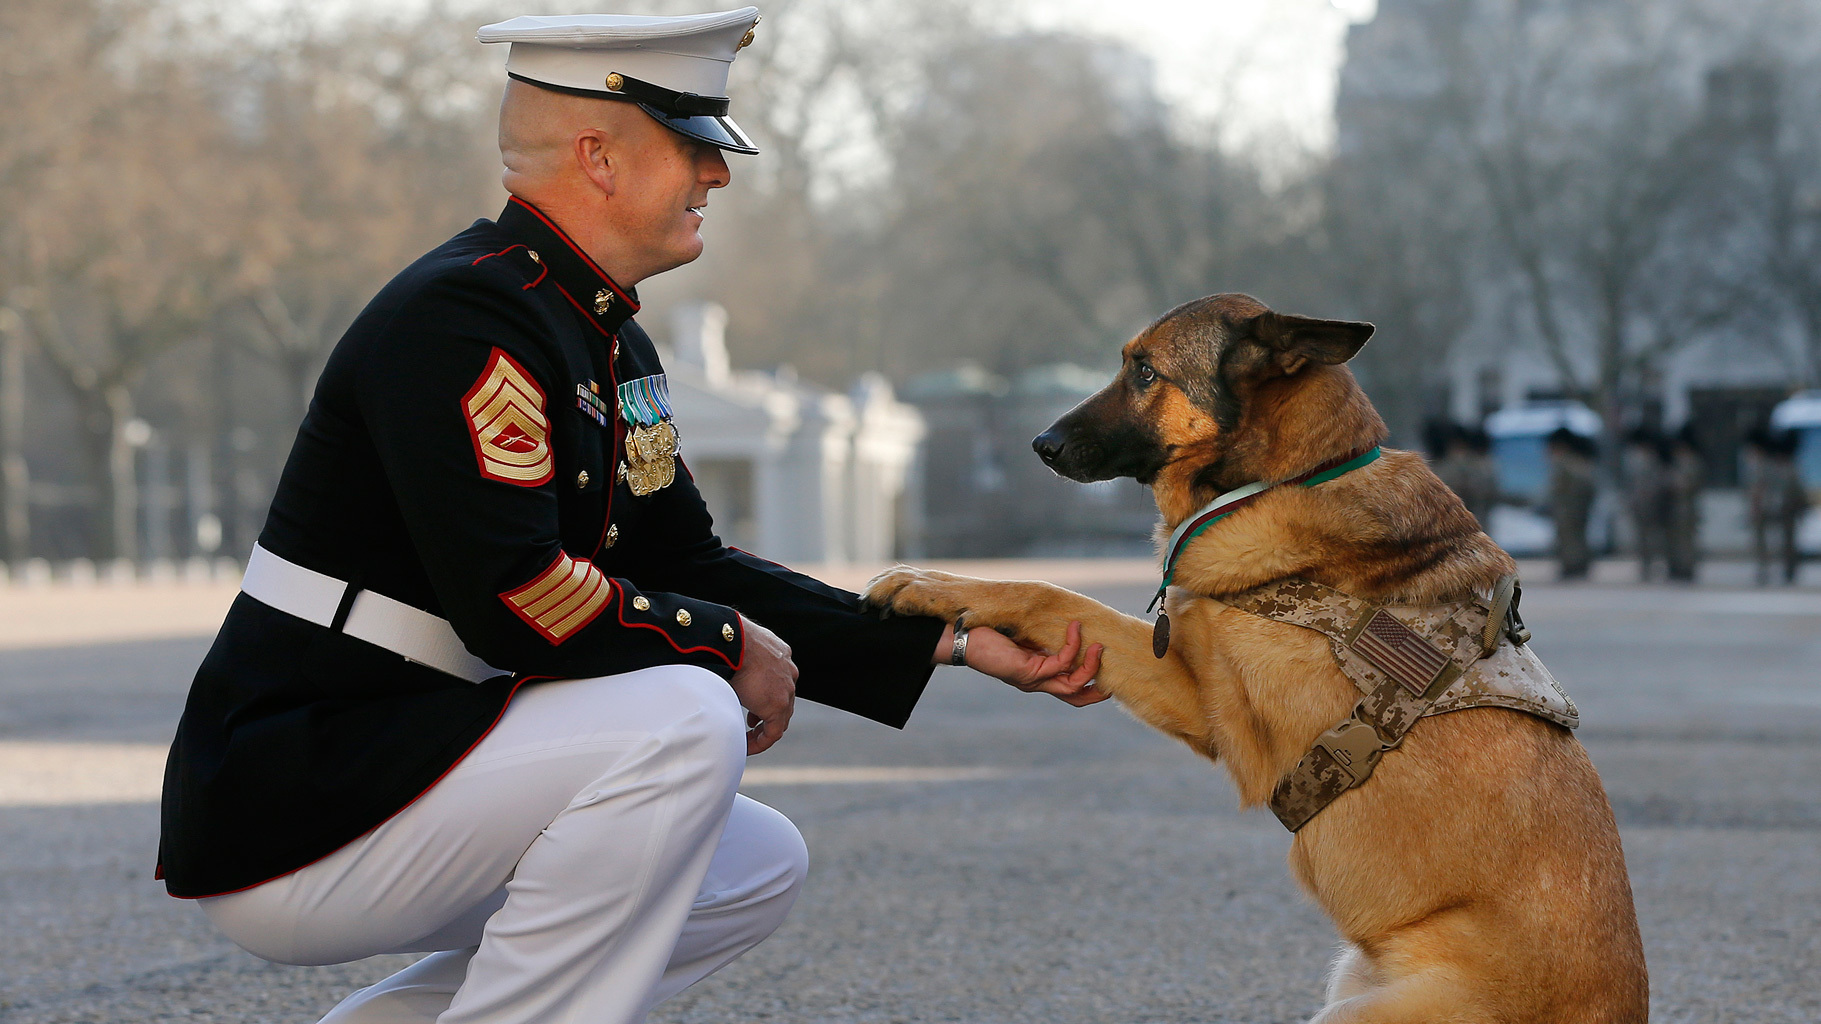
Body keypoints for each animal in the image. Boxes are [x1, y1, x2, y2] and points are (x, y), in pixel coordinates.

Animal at [864, 294, 1648, 1023]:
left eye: (1144, 371)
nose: (1038, 444)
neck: (1290, 478)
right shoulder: (1190, 687)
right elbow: (1064, 602)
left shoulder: (1229, 718)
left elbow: (1052, 592)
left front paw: (932, 586)